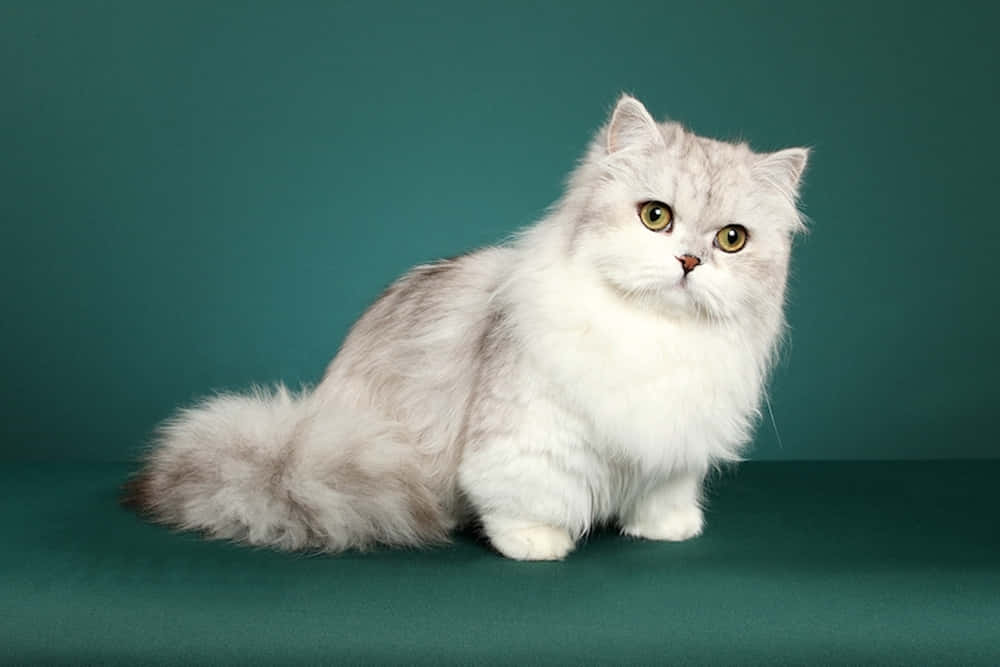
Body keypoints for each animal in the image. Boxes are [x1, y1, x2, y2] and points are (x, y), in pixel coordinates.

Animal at [123, 96, 812, 560]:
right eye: (655, 217)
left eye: (732, 240)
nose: (690, 262)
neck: (653, 333)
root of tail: (302, 437)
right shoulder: (531, 437)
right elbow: (529, 494)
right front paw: (537, 542)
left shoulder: (675, 448)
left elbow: (663, 494)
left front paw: (666, 528)